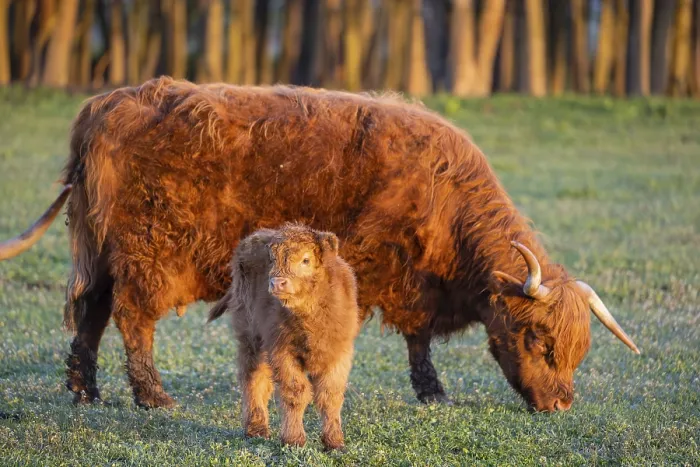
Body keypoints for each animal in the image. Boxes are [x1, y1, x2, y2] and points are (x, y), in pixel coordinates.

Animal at [0, 77, 640, 412]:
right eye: (538, 339)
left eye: (578, 350)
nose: (561, 404)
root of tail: (108, 102)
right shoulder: (378, 265)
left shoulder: (416, 285)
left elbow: (418, 340)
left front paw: (432, 392)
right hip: (147, 252)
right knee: (132, 317)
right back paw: (153, 396)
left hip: (100, 249)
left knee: (91, 312)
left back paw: (84, 391)